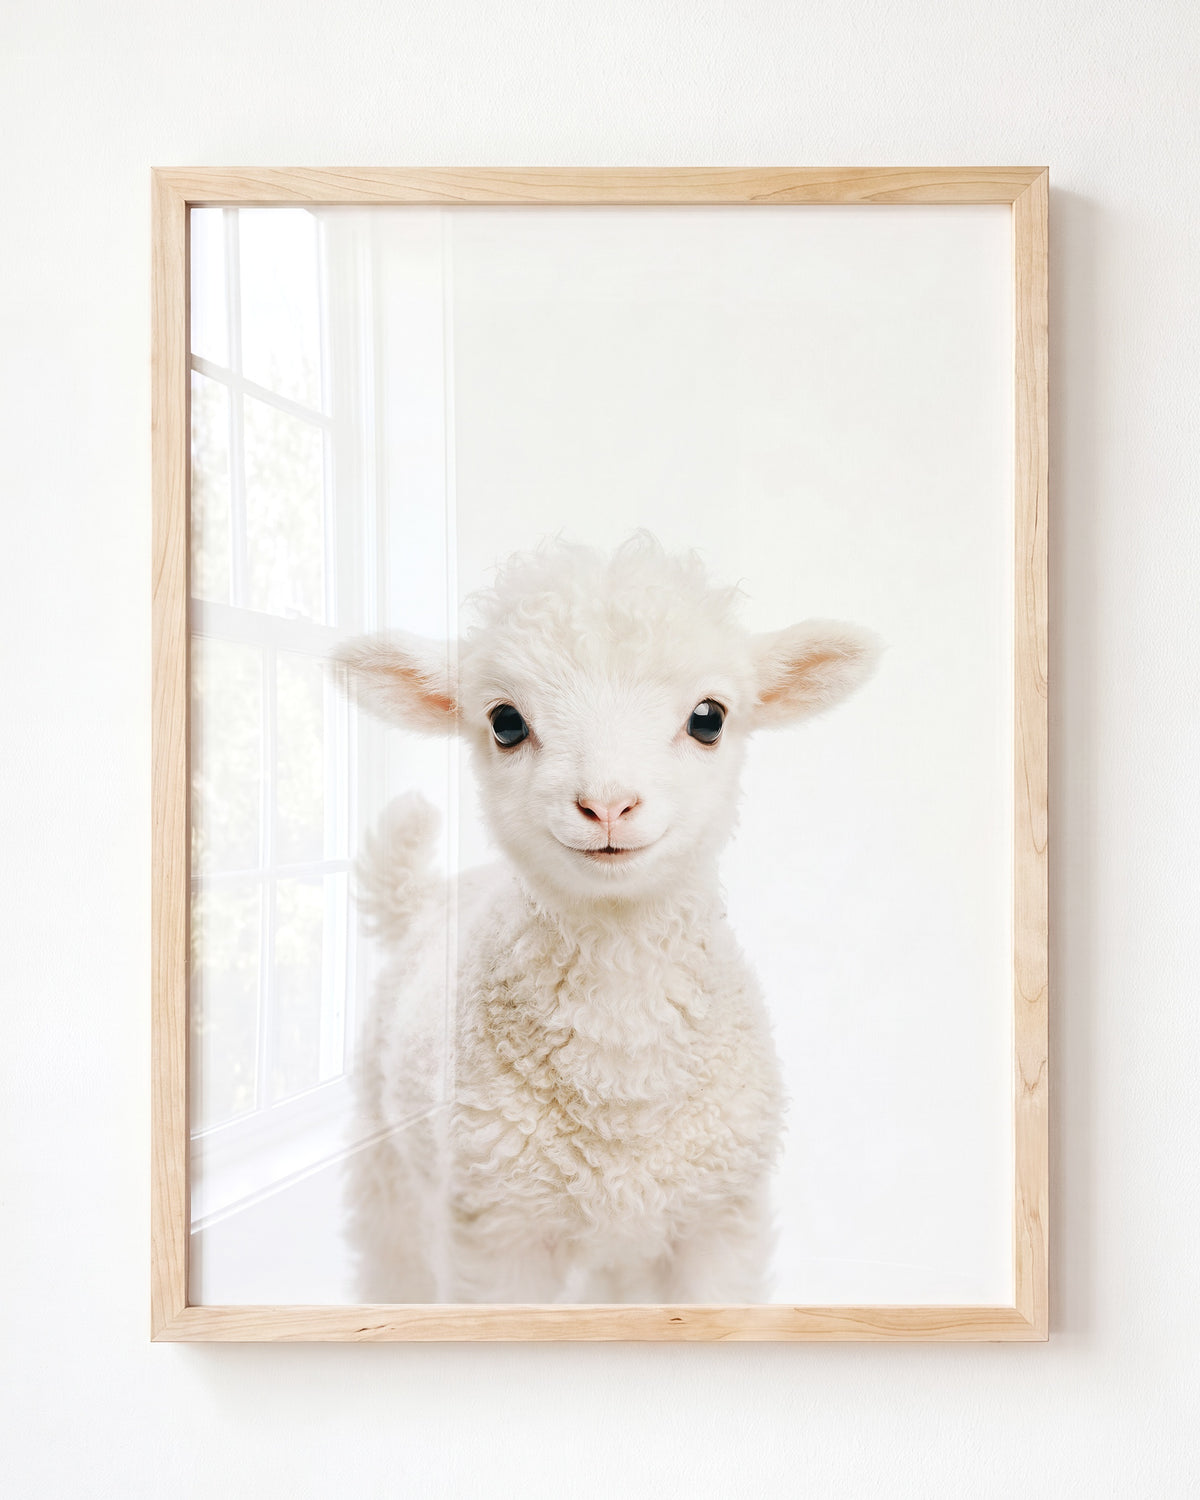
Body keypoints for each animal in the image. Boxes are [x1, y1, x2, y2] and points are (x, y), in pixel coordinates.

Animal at [334, 533, 878, 1303]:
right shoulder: (499, 1234)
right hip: (389, 1174)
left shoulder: (718, 1224)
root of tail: (428, 897)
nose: (608, 805)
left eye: (708, 718)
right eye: (506, 722)